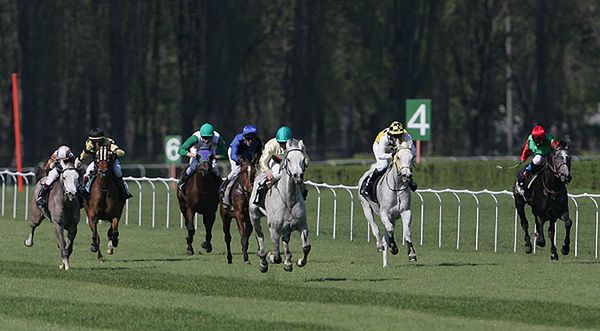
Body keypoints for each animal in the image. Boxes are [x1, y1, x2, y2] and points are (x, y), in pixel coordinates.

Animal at [250, 139, 312, 274]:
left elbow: (306, 247)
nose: (298, 176)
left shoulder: (302, 225)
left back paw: (288, 262)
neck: (289, 200)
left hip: (287, 227)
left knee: (285, 240)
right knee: (260, 236)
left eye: (302, 159)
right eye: (288, 159)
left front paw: (299, 262)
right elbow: (277, 256)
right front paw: (270, 256)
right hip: (254, 216)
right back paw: (263, 261)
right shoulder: (274, 229)